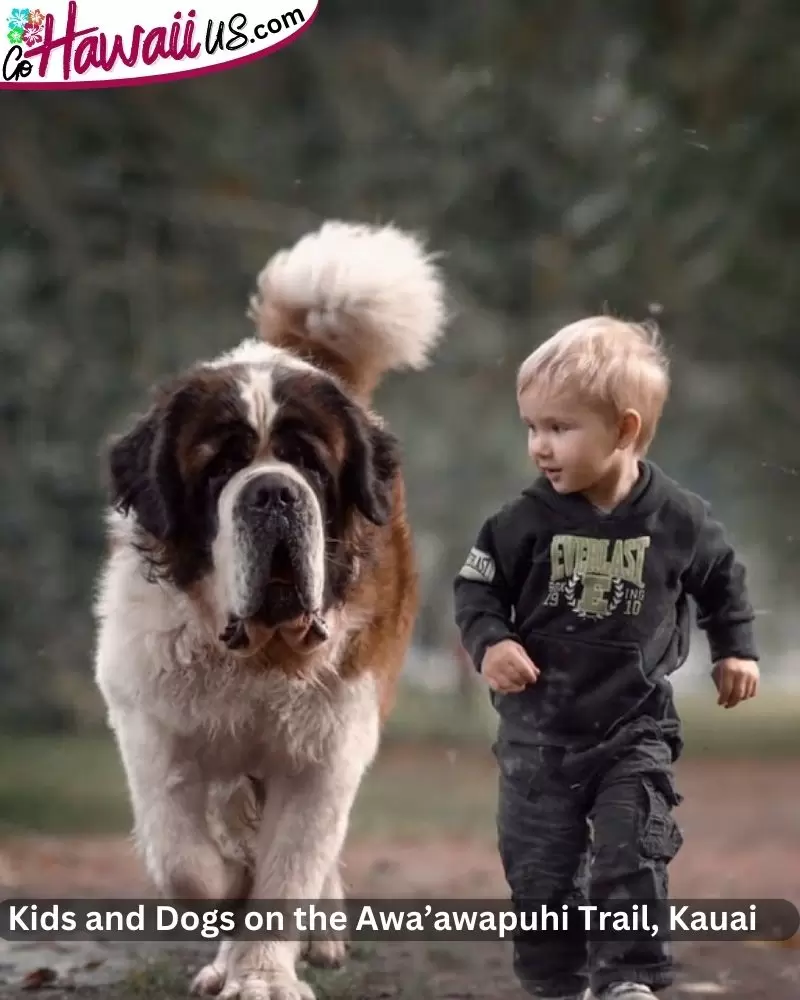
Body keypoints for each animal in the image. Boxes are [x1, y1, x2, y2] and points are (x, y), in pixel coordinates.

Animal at [92, 221, 450, 1000]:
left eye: (310, 466)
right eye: (220, 470)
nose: (274, 493)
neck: (260, 649)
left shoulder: (328, 747)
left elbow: (292, 866)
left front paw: (262, 975)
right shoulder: (153, 725)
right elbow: (183, 858)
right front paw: (229, 893)